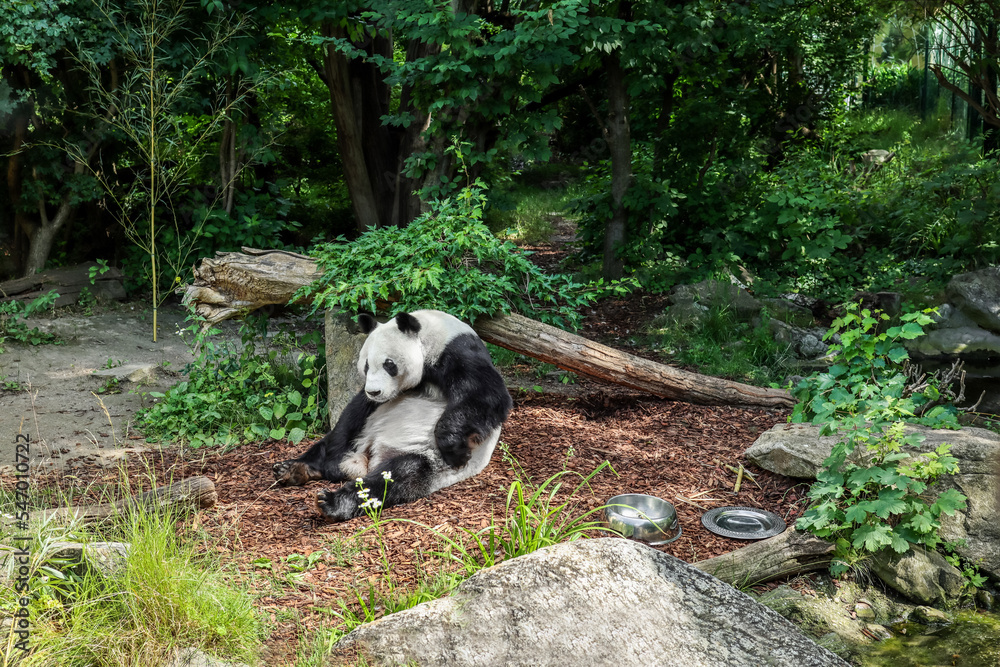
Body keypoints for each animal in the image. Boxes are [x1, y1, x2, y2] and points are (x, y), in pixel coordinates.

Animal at [272, 310, 512, 524]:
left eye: (389, 364)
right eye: (366, 365)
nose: (374, 391)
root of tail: (365, 463)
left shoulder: (459, 353)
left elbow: (486, 395)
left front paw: (456, 451)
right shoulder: (373, 401)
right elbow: (353, 413)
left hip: (426, 458)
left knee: (396, 476)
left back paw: (332, 502)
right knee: (332, 443)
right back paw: (294, 468)